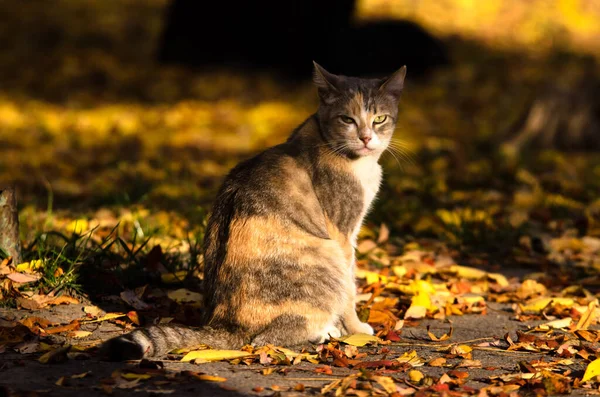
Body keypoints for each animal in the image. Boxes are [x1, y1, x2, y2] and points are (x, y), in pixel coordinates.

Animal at [99, 61, 408, 358]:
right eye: (347, 119)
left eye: (379, 118)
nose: (366, 138)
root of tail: (224, 325)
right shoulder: (343, 234)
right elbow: (350, 288)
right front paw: (356, 329)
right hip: (326, 253)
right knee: (265, 339)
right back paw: (323, 332)